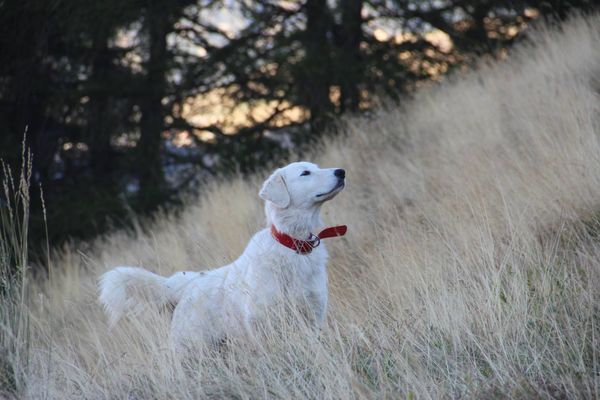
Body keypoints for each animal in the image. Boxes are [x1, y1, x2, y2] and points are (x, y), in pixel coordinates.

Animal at [99, 162, 346, 350]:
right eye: (305, 173)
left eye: (317, 166)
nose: (341, 172)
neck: (294, 245)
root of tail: (183, 285)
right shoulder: (263, 324)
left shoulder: (313, 316)